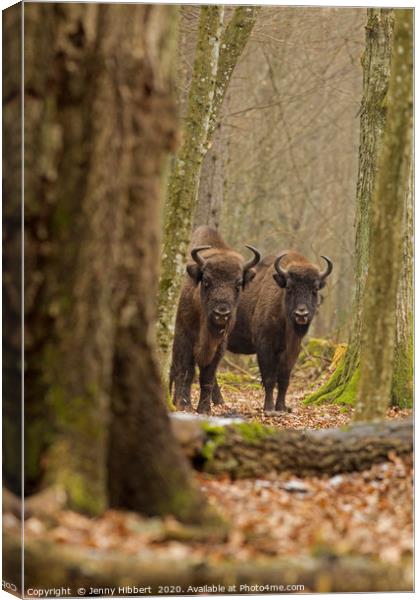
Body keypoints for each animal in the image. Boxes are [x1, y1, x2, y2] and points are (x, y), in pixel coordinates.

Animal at [169, 227, 260, 414]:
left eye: (238, 284)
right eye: (206, 280)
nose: (221, 313)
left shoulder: (219, 345)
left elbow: (208, 377)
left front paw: (204, 409)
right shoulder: (184, 338)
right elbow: (185, 370)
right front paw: (183, 404)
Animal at [221, 250, 334, 412]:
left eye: (314, 290)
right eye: (289, 288)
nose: (301, 314)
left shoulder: (292, 350)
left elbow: (284, 379)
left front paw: (281, 407)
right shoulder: (264, 346)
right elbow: (269, 378)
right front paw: (269, 408)